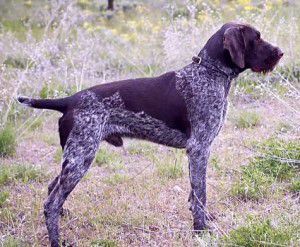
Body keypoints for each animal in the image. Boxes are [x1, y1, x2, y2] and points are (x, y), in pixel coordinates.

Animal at [18, 22, 284, 246]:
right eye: (256, 38)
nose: (280, 52)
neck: (209, 73)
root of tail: (70, 101)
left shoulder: (196, 151)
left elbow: (194, 194)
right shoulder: (199, 148)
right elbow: (201, 194)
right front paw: (200, 230)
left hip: (75, 157)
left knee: (52, 188)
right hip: (80, 157)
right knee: (51, 203)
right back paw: (56, 240)